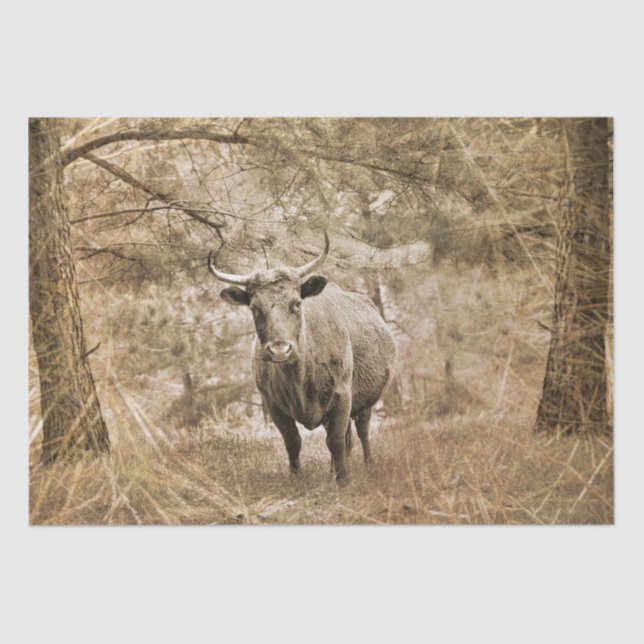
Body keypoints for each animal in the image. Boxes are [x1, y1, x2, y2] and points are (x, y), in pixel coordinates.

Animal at [207, 231, 396, 485]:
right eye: (254, 308)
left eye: (296, 303)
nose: (279, 350)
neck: (299, 376)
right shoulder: (272, 404)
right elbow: (293, 441)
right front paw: (296, 478)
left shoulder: (342, 396)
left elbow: (335, 441)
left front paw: (343, 481)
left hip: (367, 399)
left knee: (362, 431)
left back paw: (368, 465)